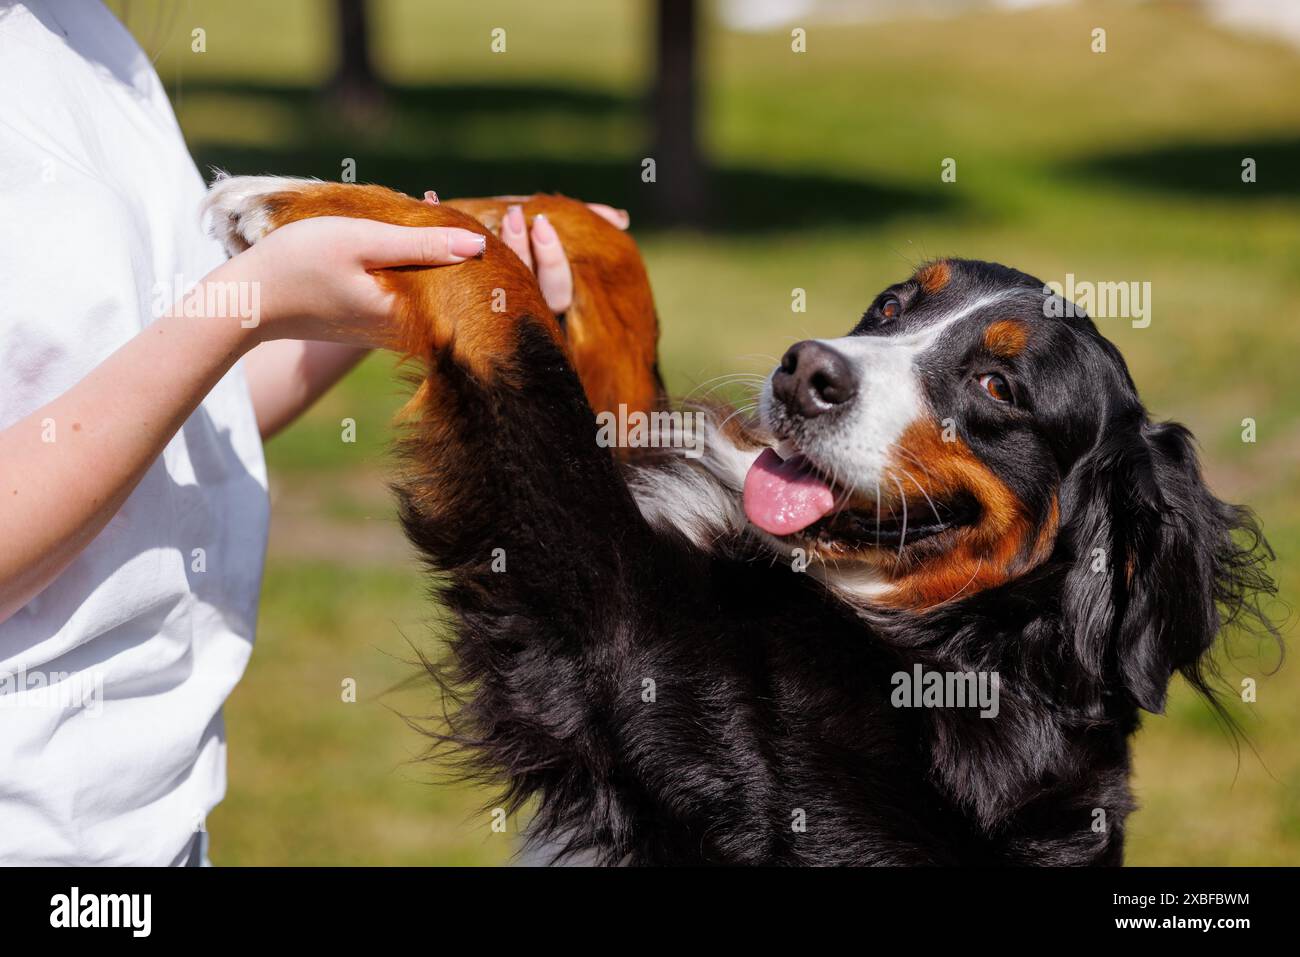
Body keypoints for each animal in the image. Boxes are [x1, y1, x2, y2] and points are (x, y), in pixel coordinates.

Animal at [205, 174, 1279, 868]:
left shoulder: (611, 616)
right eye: (891, 305)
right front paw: (464, 208)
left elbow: (506, 307)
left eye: (997, 386)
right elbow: (596, 272)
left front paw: (284, 203)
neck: (962, 642)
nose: (807, 370)